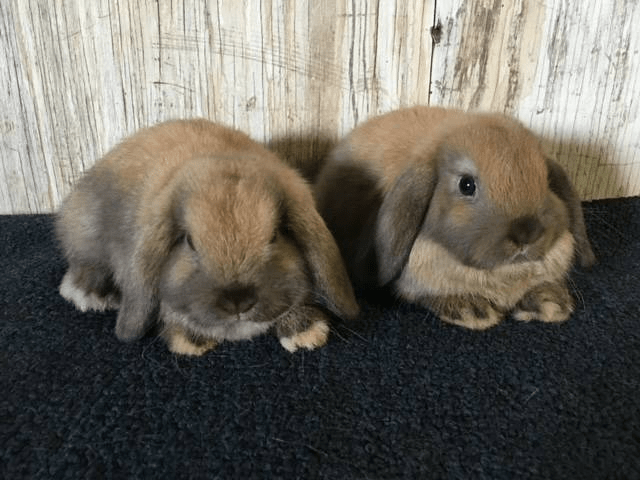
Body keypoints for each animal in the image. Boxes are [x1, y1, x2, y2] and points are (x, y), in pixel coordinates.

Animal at [56, 119, 359, 355]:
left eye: (275, 235)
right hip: (85, 234)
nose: (238, 301)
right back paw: (89, 293)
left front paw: (305, 333)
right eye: (189, 242)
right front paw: (192, 341)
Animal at [314, 106, 595, 330]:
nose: (527, 233)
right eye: (466, 185)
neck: (503, 273)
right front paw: (471, 310)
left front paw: (550, 303)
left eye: (546, 180)